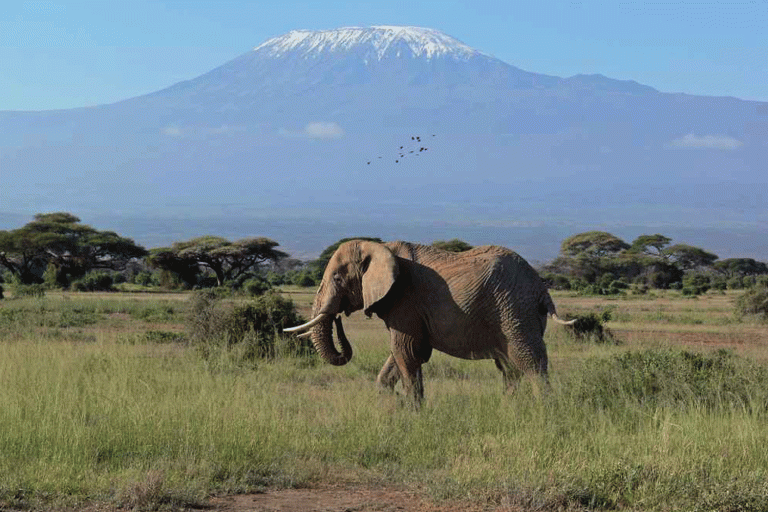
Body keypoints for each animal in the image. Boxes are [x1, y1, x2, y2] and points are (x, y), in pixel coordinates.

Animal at [284, 241, 572, 408]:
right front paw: (393, 403)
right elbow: (401, 354)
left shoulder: (405, 299)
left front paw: (413, 411)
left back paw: (543, 410)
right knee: (509, 367)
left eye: (337, 278)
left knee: (529, 361)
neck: (380, 247)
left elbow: (405, 351)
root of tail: (540, 287)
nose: (338, 318)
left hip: (514, 309)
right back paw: (508, 408)